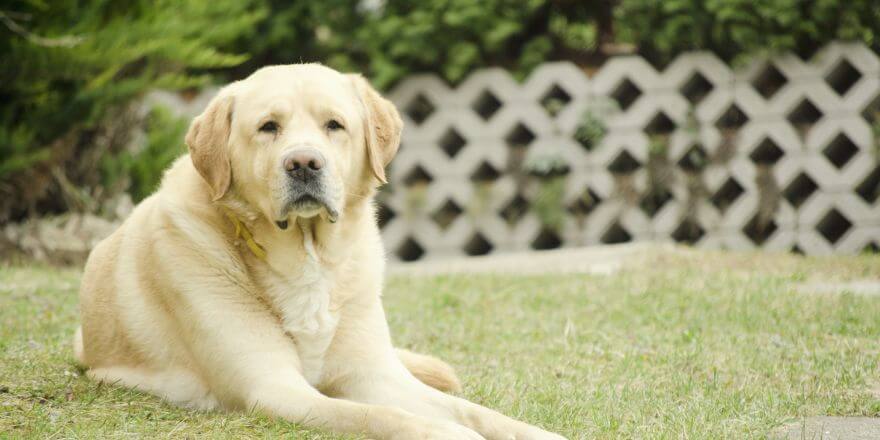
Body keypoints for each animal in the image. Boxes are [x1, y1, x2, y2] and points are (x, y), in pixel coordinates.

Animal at [75, 63, 564, 438]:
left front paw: (535, 432)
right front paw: (446, 432)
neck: (307, 256)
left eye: (334, 125)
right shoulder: (273, 387)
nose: (304, 163)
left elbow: (475, 411)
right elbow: (381, 416)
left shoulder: (375, 373)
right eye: (268, 127)